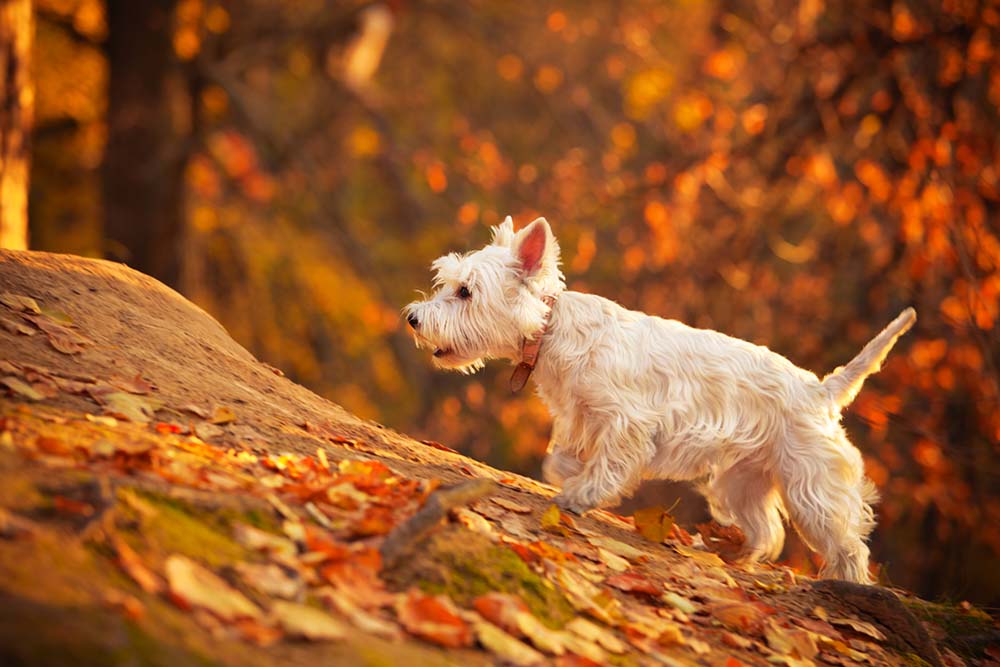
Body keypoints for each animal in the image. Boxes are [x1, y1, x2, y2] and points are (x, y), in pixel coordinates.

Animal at [404, 218, 916, 584]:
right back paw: (738, 554)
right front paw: (573, 481)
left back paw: (844, 585)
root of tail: (821, 389)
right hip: (743, 478)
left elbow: (608, 464)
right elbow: (559, 459)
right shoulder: (580, 416)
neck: (551, 332)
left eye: (465, 291)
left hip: (809, 483)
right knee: (768, 530)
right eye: (447, 283)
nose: (412, 318)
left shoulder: (627, 421)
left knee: (848, 542)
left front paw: (583, 494)